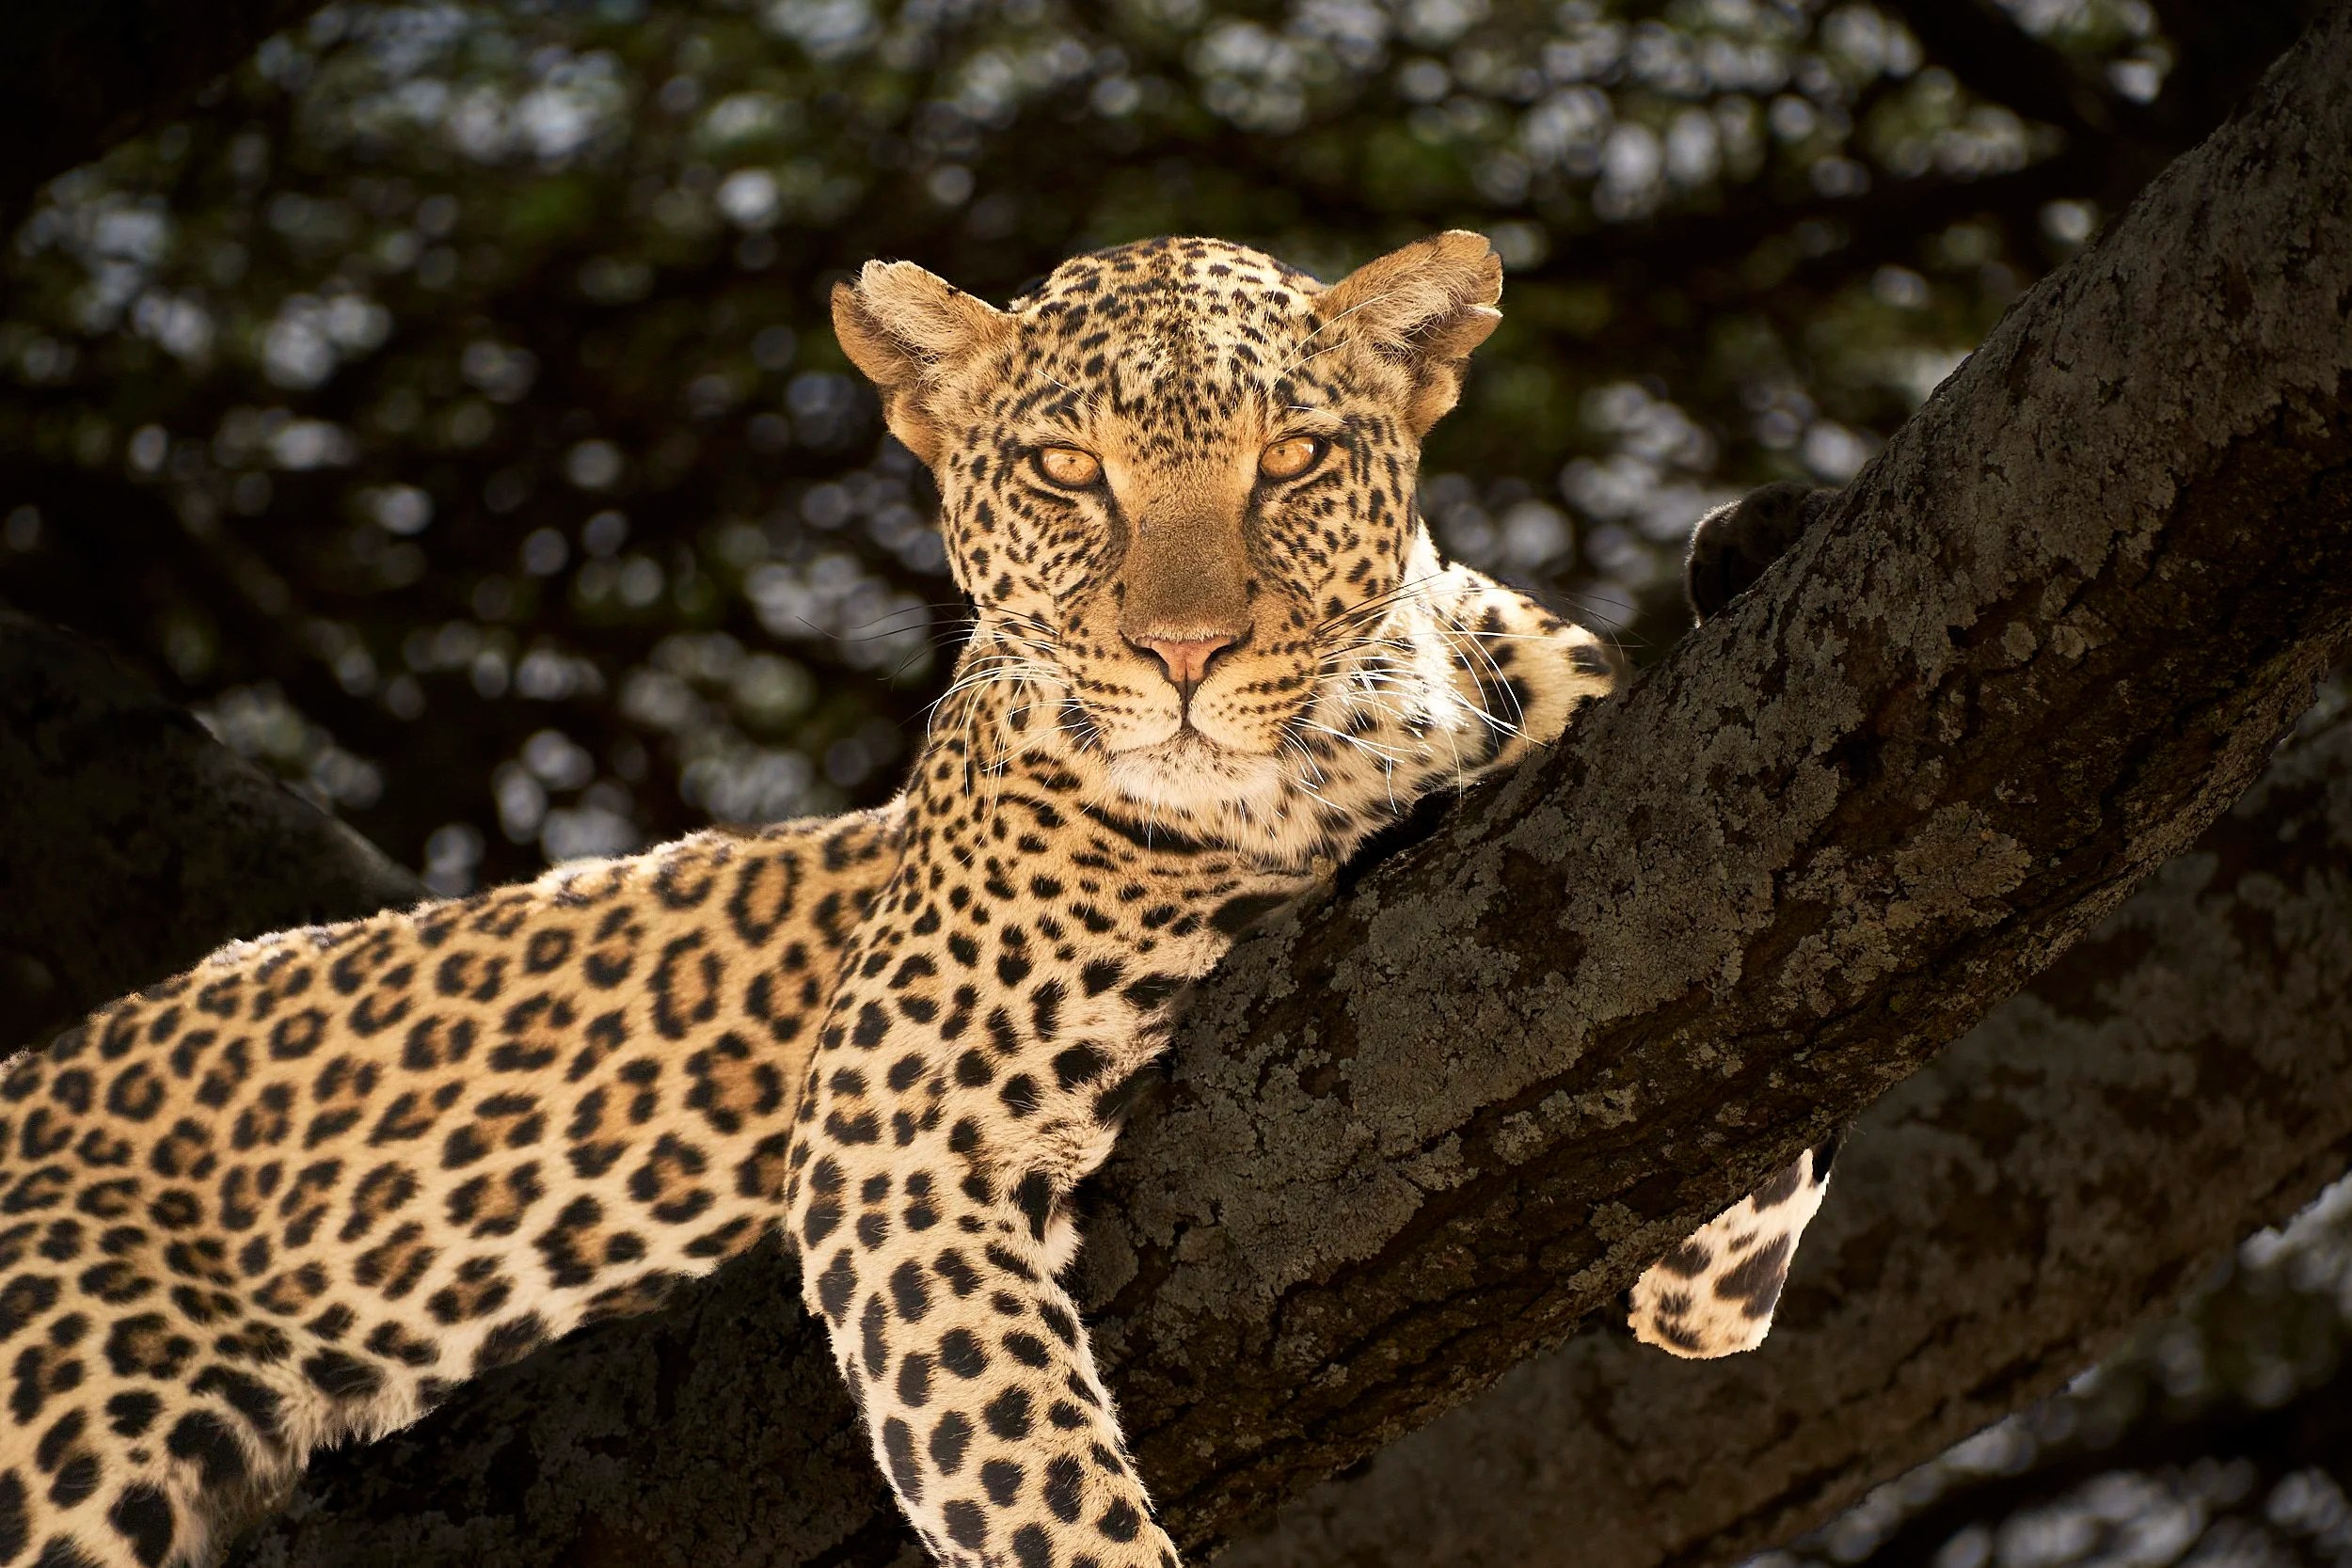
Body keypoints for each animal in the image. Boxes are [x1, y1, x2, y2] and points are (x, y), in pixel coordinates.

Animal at [0, 231, 1834, 1568]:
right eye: (1068, 471)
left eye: (1295, 458)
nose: (1186, 652)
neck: (1334, 765)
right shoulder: (899, 1137)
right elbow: (1046, 1498)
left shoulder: (1670, 1144)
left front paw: (1755, 539)